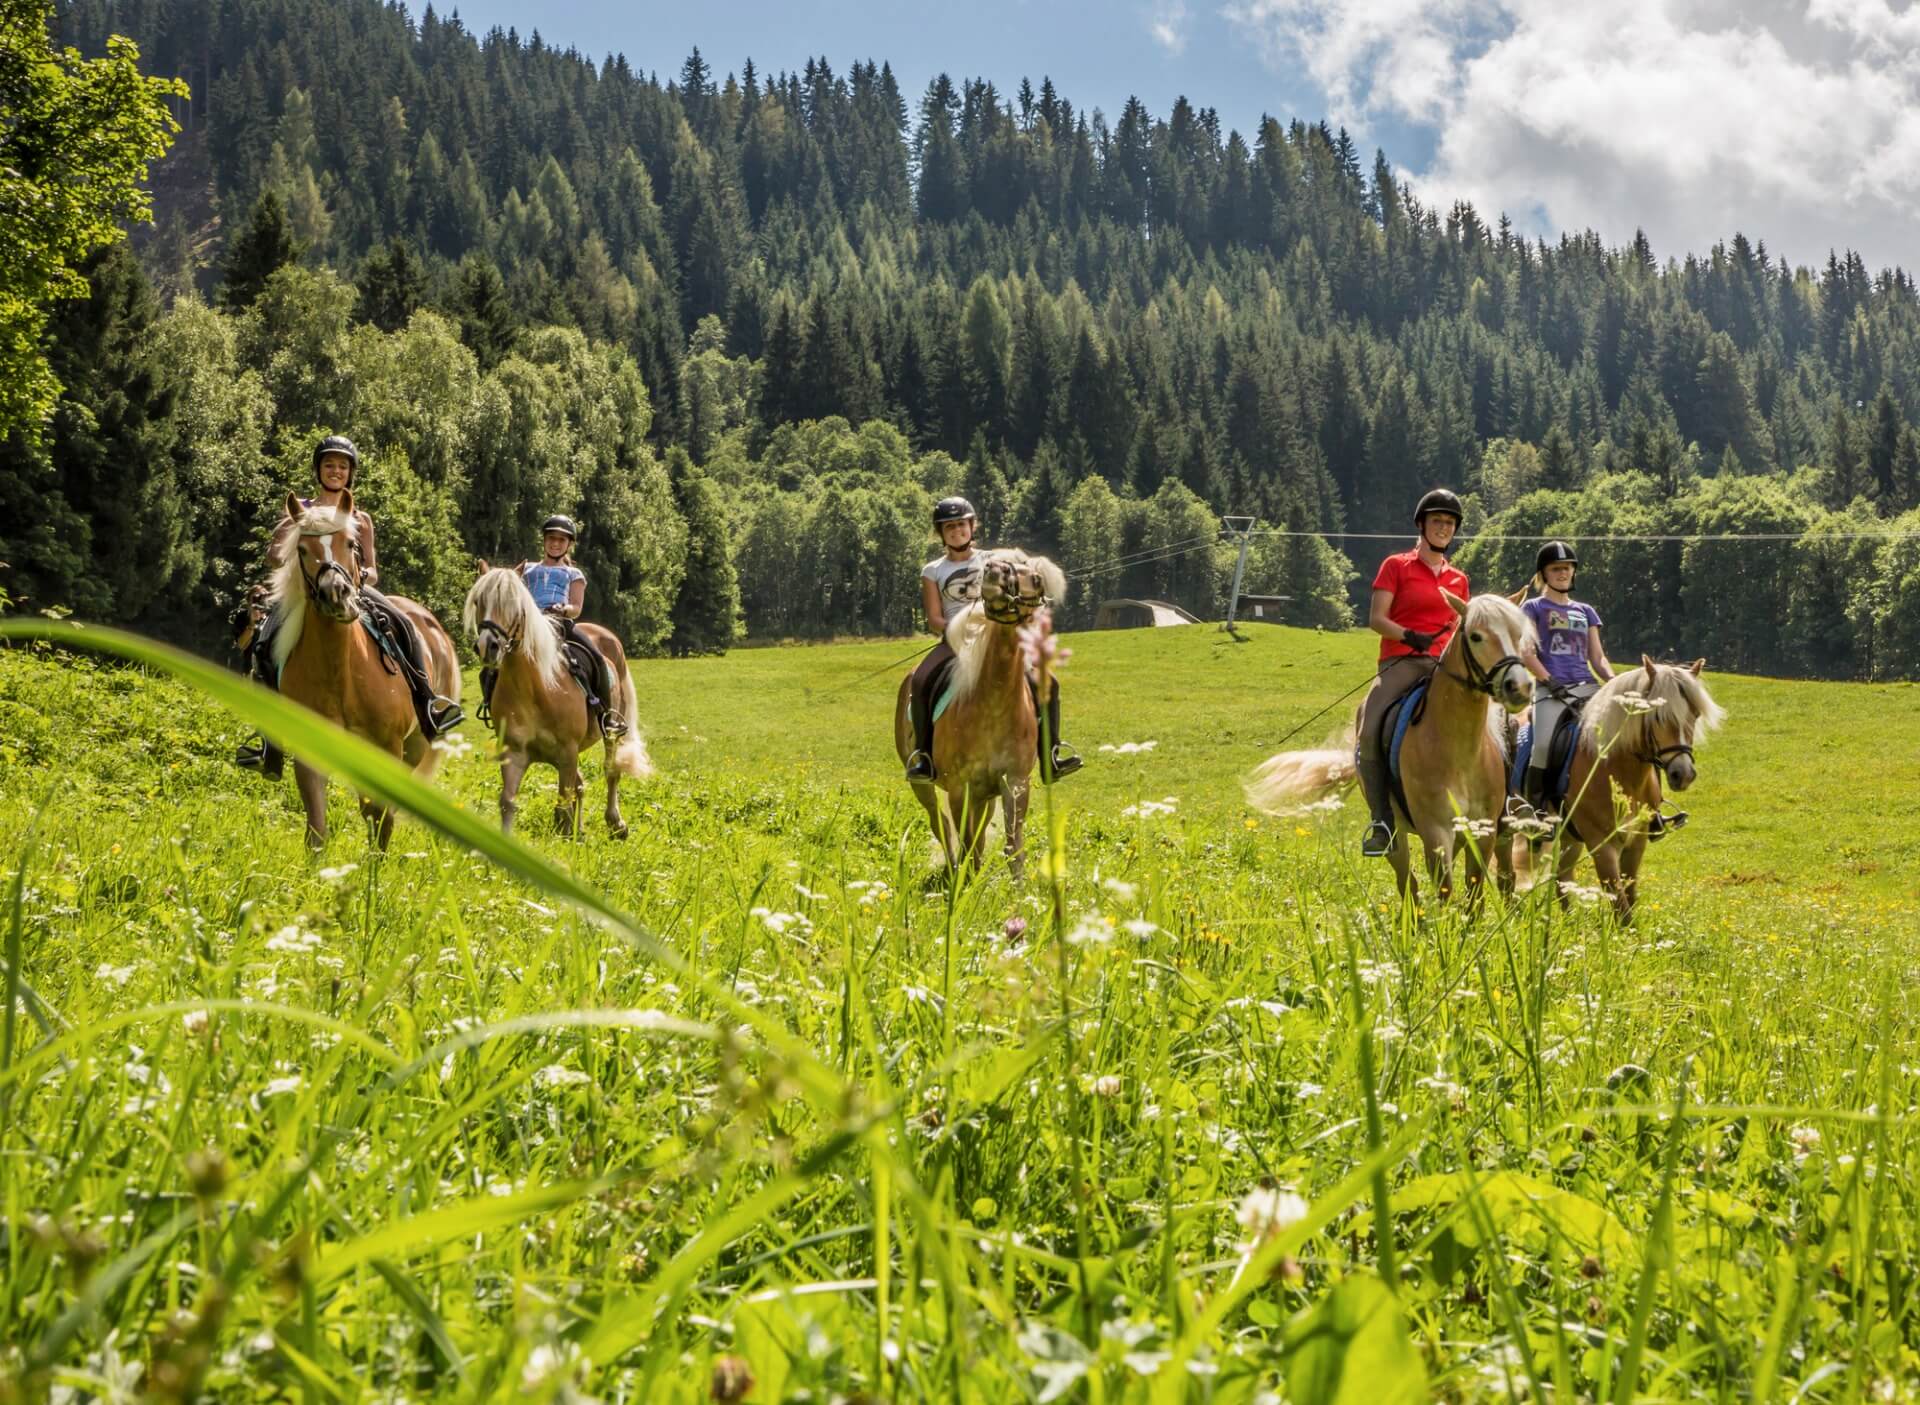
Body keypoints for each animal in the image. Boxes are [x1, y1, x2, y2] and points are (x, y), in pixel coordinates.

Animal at [266, 495, 460, 844]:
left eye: (351, 543)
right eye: (302, 549)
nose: (336, 595)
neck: (342, 674)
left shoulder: (385, 749)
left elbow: (380, 819)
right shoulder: (311, 749)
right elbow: (317, 828)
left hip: (416, 746)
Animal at [458, 568, 652, 840]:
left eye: (513, 604)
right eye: (478, 601)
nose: (488, 646)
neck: (534, 688)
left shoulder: (567, 751)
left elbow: (563, 808)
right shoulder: (515, 753)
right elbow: (508, 802)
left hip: (610, 732)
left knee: (611, 771)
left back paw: (616, 824)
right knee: (580, 785)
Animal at [894, 552, 1067, 871]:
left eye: (1036, 579)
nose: (994, 571)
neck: (994, 707)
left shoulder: (1014, 784)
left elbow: (1012, 847)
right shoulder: (959, 789)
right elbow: (966, 843)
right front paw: (964, 881)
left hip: (985, 796)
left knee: (979, 833)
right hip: (925, 786)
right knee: (940, 823)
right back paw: (952, 867)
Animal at [1251, 591, 1536, 898]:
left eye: (1518, 635)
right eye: (1476, 636)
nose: (1519, 687)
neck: (1462, 753)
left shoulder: (1484, 831)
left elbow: (1474, 894)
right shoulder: (1436, 831)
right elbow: (1445, 891)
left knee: (1506, 878)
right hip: (1397, 837)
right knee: (1407, 884)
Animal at [1543, 656, 1728, 921]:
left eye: (1694, 715)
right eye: (1658, 716)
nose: (1683, 775)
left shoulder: (1636, 840)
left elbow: (1629, 898)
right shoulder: (1601, 843)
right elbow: (1621, 907)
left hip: (1569, 836)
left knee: (1562, 878)